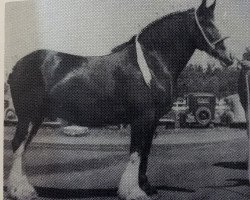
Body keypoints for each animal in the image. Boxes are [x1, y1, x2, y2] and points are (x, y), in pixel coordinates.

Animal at [7, 0, 234, 199]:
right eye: (206, 24)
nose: (229, 58)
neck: (151, 64)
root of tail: (18, 66)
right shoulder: (142, 118)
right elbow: (136, 152)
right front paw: (133, 191)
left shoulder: (152, 121)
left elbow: (145, 153)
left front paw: (147, 188)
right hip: (28, 116)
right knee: (18, 145)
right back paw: (19, 191)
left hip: (36, 118)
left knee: (22, 146)